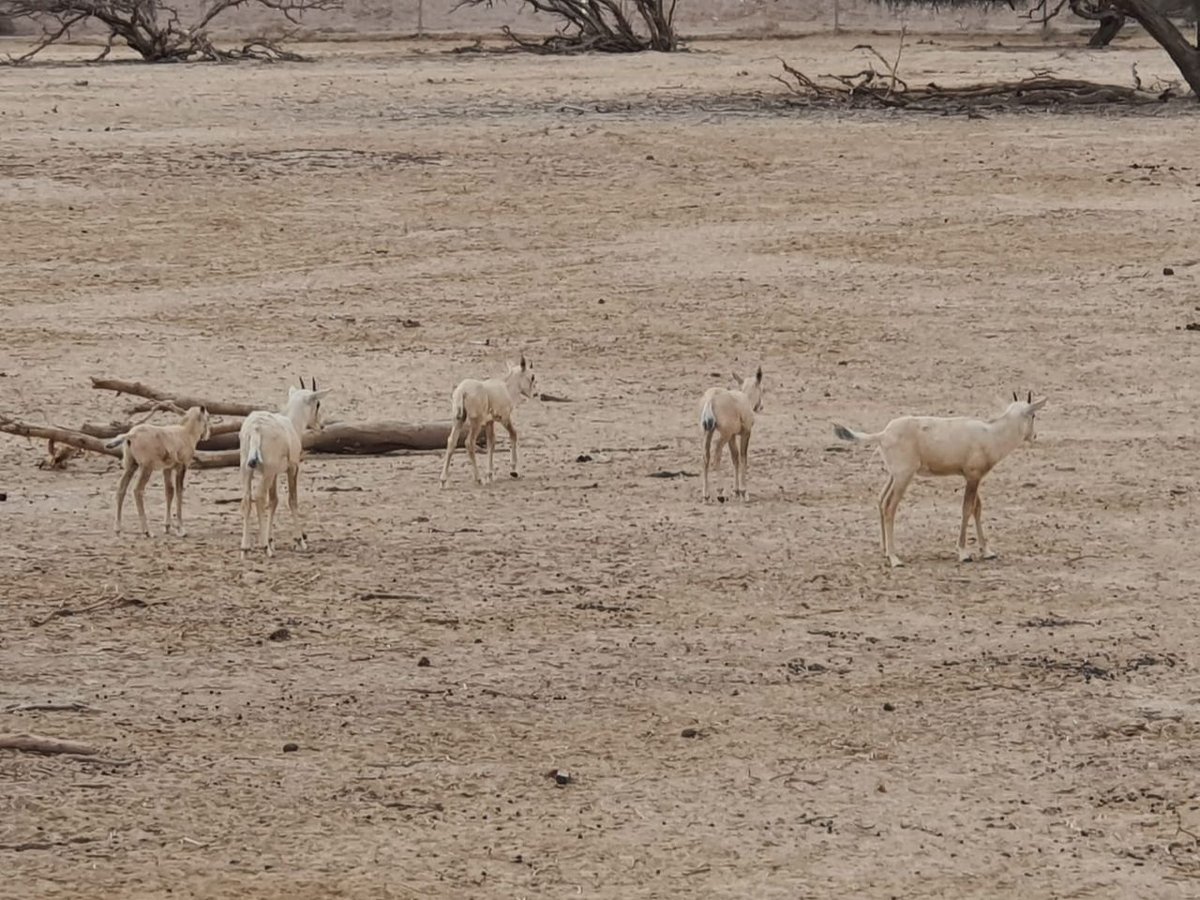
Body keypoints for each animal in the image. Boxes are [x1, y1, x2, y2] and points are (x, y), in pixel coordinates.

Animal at [237, 374, 328, 556]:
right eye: (318, 404)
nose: (321, 425)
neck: (291, 424)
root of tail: (256, 427)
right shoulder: (292, 468)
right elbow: (292, 499)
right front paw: (299, 541)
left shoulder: (275, 474)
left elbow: (274, 501)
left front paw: (271, 540)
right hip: (266, 472)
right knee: (259, 498)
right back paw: (264, 548)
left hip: (247, 469)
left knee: (246, 499)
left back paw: (245, 548)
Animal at [439, 355, 537, 489]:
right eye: (532, 376)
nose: (535, 394)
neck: (506, 388)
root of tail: (462, 391)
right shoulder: (504, 419)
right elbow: (513, 434)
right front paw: (514, 471)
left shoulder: (489, 423)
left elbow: (491, 443)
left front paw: (490, 474)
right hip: (476, 423)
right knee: (469, 443)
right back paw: (478, 479)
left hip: (458, 420)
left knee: (451, 441)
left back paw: (443, 480)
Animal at [700, 369, 763, 504]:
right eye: (761, 388)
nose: (760, 406)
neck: (744, 399)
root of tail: (711, 398)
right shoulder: (745, 433)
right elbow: (743, 457)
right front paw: (744, 492)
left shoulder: (732, 436)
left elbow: (735, 458)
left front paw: (736, 491)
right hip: (724, 435)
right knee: (716, 455)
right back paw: (720, 493)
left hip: (708, 432)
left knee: (706, 457)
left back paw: (706, 496)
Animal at [835, 391, 1051, 566]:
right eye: (1033, 415)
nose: (1034, 436)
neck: (992, 434)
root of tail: (883, 434)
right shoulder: (972, 477)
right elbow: (967, 509)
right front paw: (964, 553)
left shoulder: (974, 477)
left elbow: (977, 509)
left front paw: (988, 552)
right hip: (904, 476)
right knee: (889, 506)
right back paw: (895, 558)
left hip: (893, 476)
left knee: (880, 499)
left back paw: (885, 551)